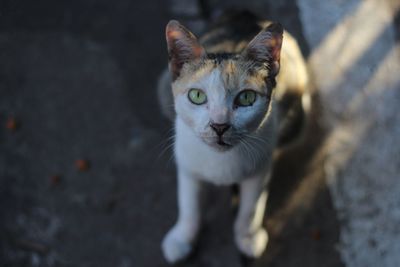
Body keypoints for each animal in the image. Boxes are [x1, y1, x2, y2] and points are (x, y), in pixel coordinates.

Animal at [157, 9, 310, 264]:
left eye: (246, 98)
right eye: (197, 96)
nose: (219, 126)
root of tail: (245, 13)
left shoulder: (261, 167)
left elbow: (251, 207)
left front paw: (247, 237)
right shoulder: (188, 165)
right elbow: (189, 204)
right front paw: (182, 237)